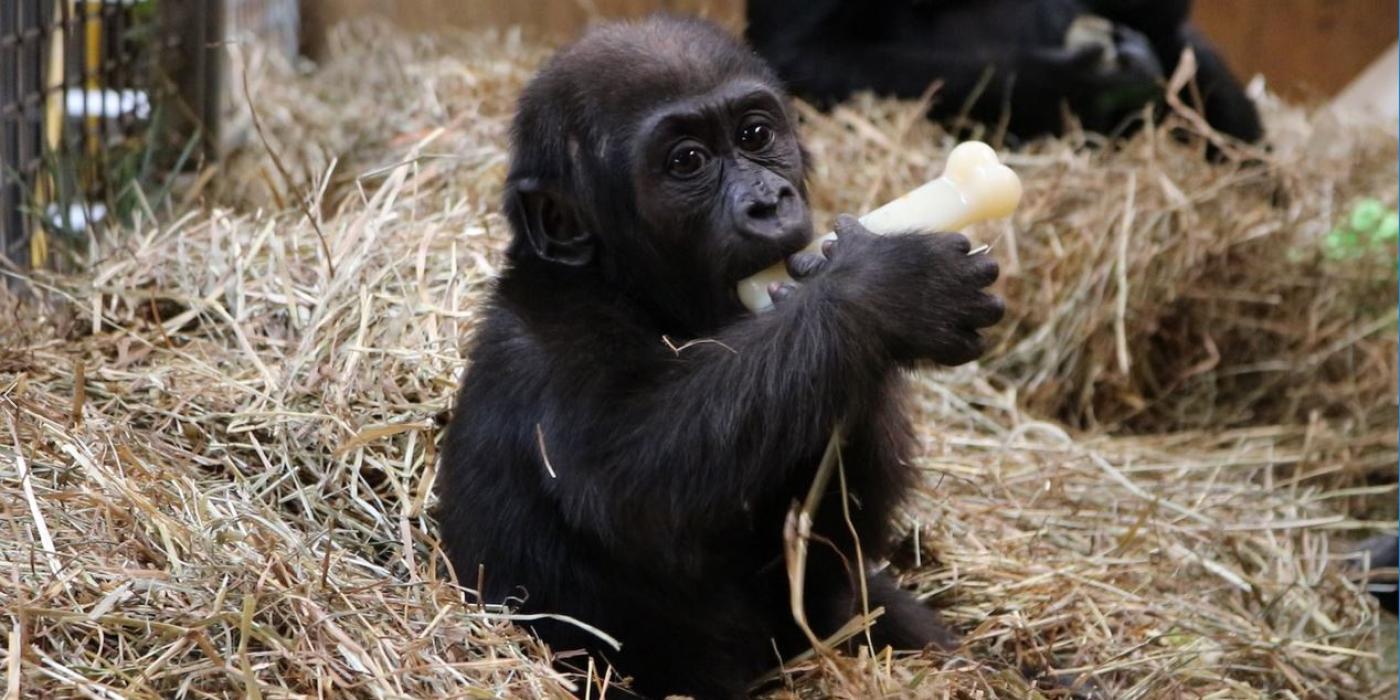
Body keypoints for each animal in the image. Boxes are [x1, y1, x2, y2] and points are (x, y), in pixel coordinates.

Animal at [434, 13, 1008, 700]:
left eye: (755, 134)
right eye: (688, 162)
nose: (769, 201)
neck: (627, 290)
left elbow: (824, 555)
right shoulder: (545, 348)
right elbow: (631, 480)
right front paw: (879, 294)